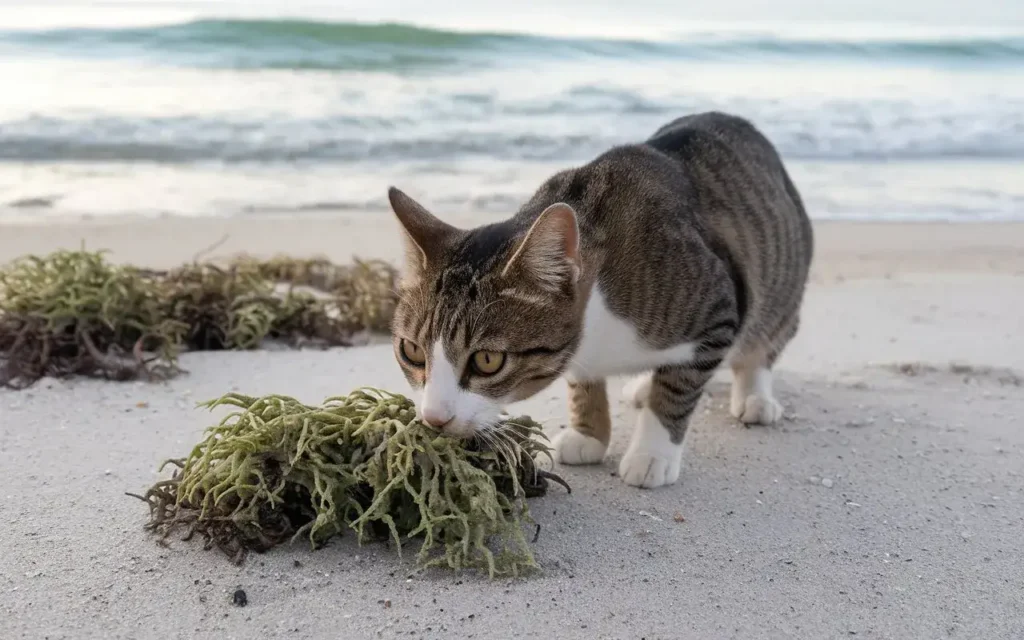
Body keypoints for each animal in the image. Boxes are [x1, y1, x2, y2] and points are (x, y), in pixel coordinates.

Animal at [387, 111, 811, 489]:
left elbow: (677, 388)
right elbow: (582, 380)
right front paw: (588, 432)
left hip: (780, 286)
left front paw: (652, 453)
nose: (434, 418)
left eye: (488, 361)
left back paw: (754, 395)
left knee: (760, 344)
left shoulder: (717, 304)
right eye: (411, 351)